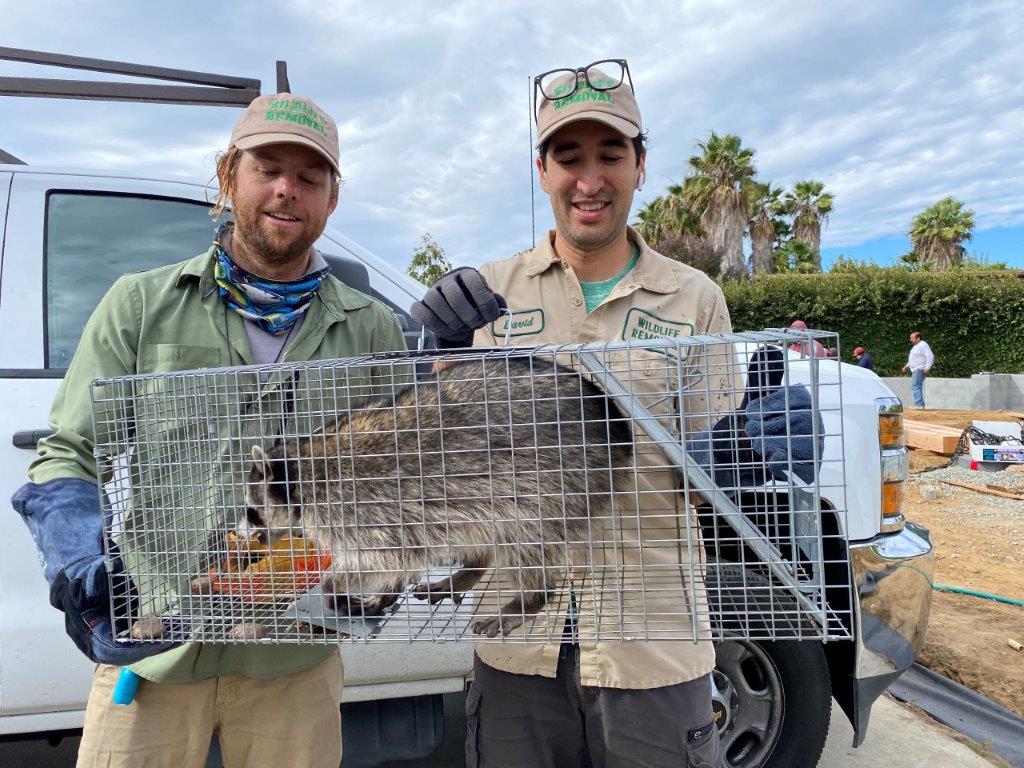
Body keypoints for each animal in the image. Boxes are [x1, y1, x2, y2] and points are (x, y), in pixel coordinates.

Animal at [240, 356, 633, 637]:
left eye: (250, 508)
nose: (237, 532)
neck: (304, 474)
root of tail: (615, 427)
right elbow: (402, 561)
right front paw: (386, 592)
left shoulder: (364, 510)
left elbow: (379, 559)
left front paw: (335, 588)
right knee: (488, 532)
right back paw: (471, 570)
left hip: (555, 481)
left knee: (522, 538)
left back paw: (529, 599)